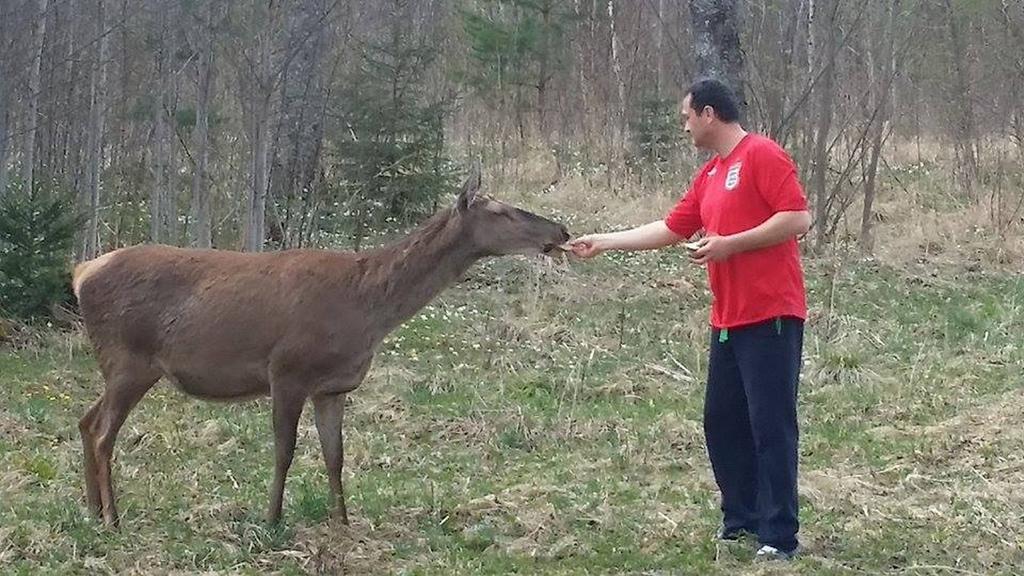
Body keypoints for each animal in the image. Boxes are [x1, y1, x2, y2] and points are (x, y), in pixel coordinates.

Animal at [72, 169, 569, 524]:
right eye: (502, 212)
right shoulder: (287, 369)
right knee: (102, 432)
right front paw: (272, 520)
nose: (561, 230)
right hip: (130, 359)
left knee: (85, 420)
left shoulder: (333, 387)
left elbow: (335, 456)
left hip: (122, 366)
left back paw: (94, 511)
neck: (365, 308)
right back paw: (114, 518)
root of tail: (81, 273)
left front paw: (342, 521)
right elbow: (284, 450)